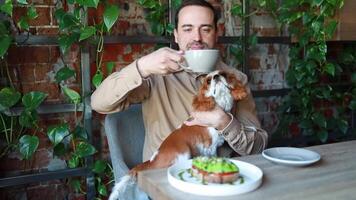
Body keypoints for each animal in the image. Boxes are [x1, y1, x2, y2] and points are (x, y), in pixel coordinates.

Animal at [110, 70, 246, 200]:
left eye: (223, 74)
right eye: (208, 81)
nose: (216, 77)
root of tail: (151, 161)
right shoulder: (209, 147)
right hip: (184, 151)